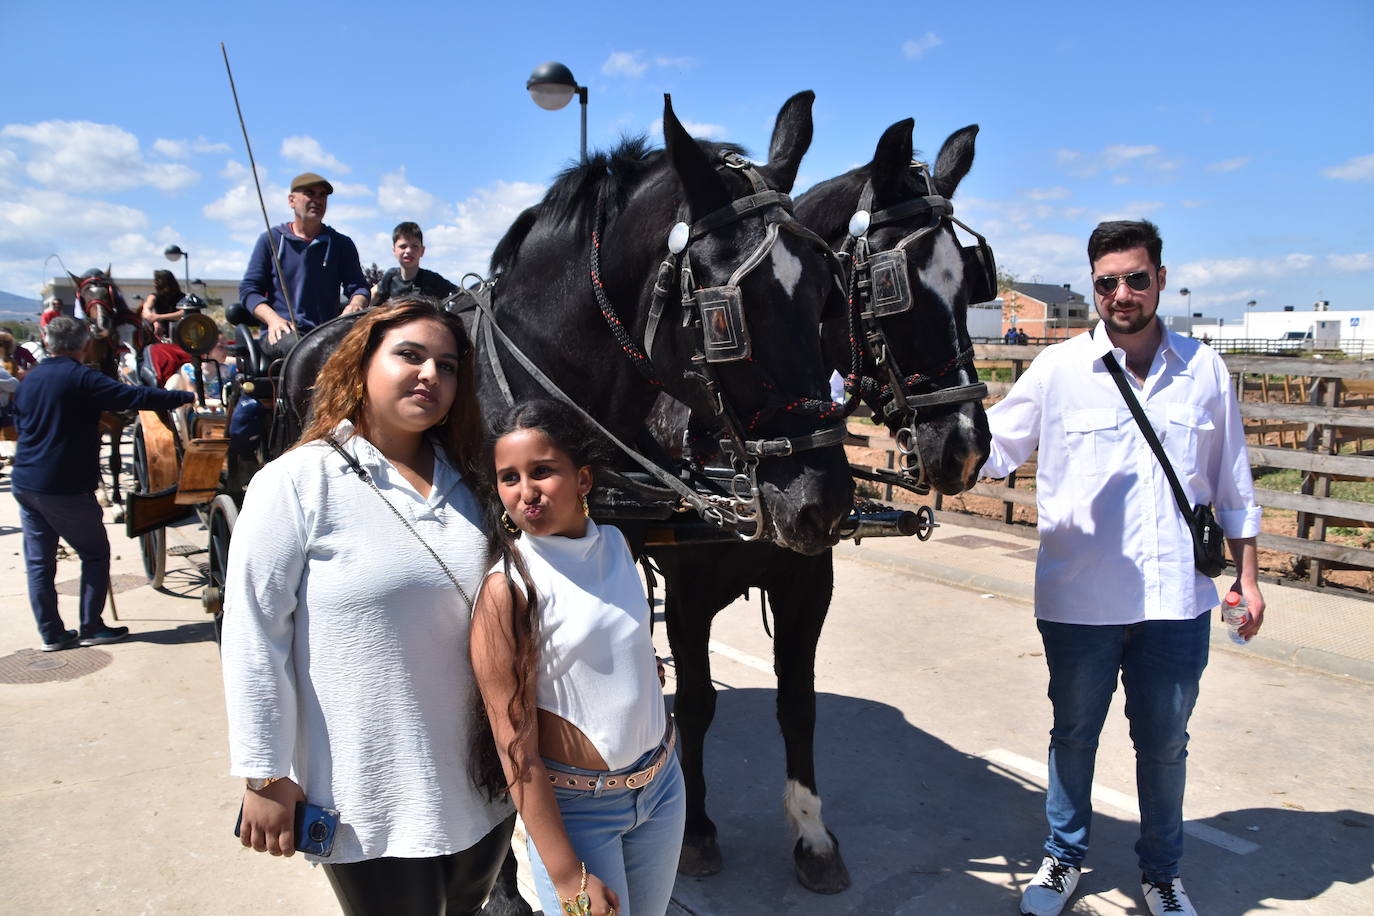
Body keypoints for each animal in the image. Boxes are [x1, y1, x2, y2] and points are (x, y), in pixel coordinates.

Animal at [648, 116, 994, 895]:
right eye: (894, 287)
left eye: (971, 283)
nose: (965, 446)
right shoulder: (686, 592)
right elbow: (698, 702)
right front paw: (698, 830)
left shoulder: (808, 580)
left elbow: (797, 704)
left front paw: (811, 835)